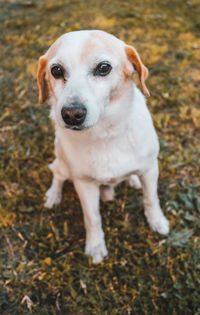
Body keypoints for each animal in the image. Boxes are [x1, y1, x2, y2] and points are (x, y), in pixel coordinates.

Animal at [36, 30, 170, 264]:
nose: (72, 114)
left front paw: (157, 221)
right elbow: (92, 218)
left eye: (103, 67)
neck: (105, 135)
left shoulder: (150, 170)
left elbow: (151, 199)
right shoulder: (84, 184)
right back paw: (54, 195)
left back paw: (133, 180)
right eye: (56, 70)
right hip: (62, 161)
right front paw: (95, 246)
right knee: (58, 175)